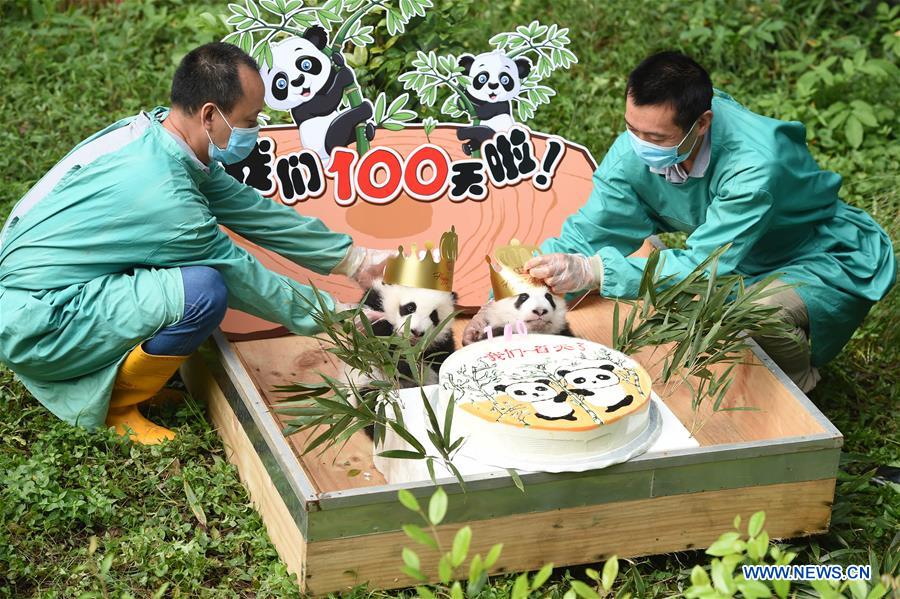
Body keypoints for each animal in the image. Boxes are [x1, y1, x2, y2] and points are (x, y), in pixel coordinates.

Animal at [259, 26, 375, 165]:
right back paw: (364, 110)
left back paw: (369, 130)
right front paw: (344, 76)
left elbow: (327, 83)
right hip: (327, 141)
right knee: (339, 128)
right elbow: (325, 103)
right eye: (281, 83)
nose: (298, 81)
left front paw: (337, 59)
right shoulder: (302, 108)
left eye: (306, 64)